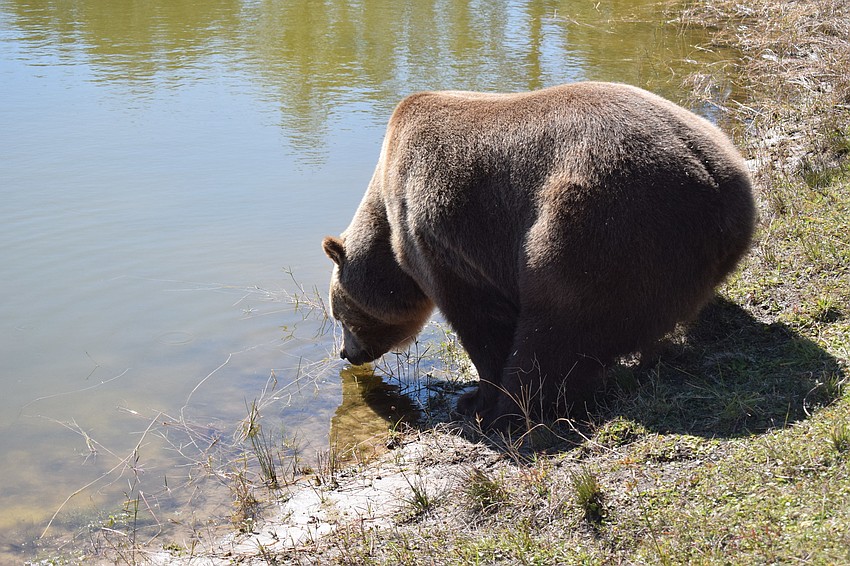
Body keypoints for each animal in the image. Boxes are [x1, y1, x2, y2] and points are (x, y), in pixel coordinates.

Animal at [322, 81, 756, 428]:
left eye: (339, 314)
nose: (347, 353)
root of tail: (712, 177)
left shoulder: (438, 234)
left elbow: (480, 321)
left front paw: (474, 398)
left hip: (603, 224)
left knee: (558, 323)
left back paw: (512, 408)